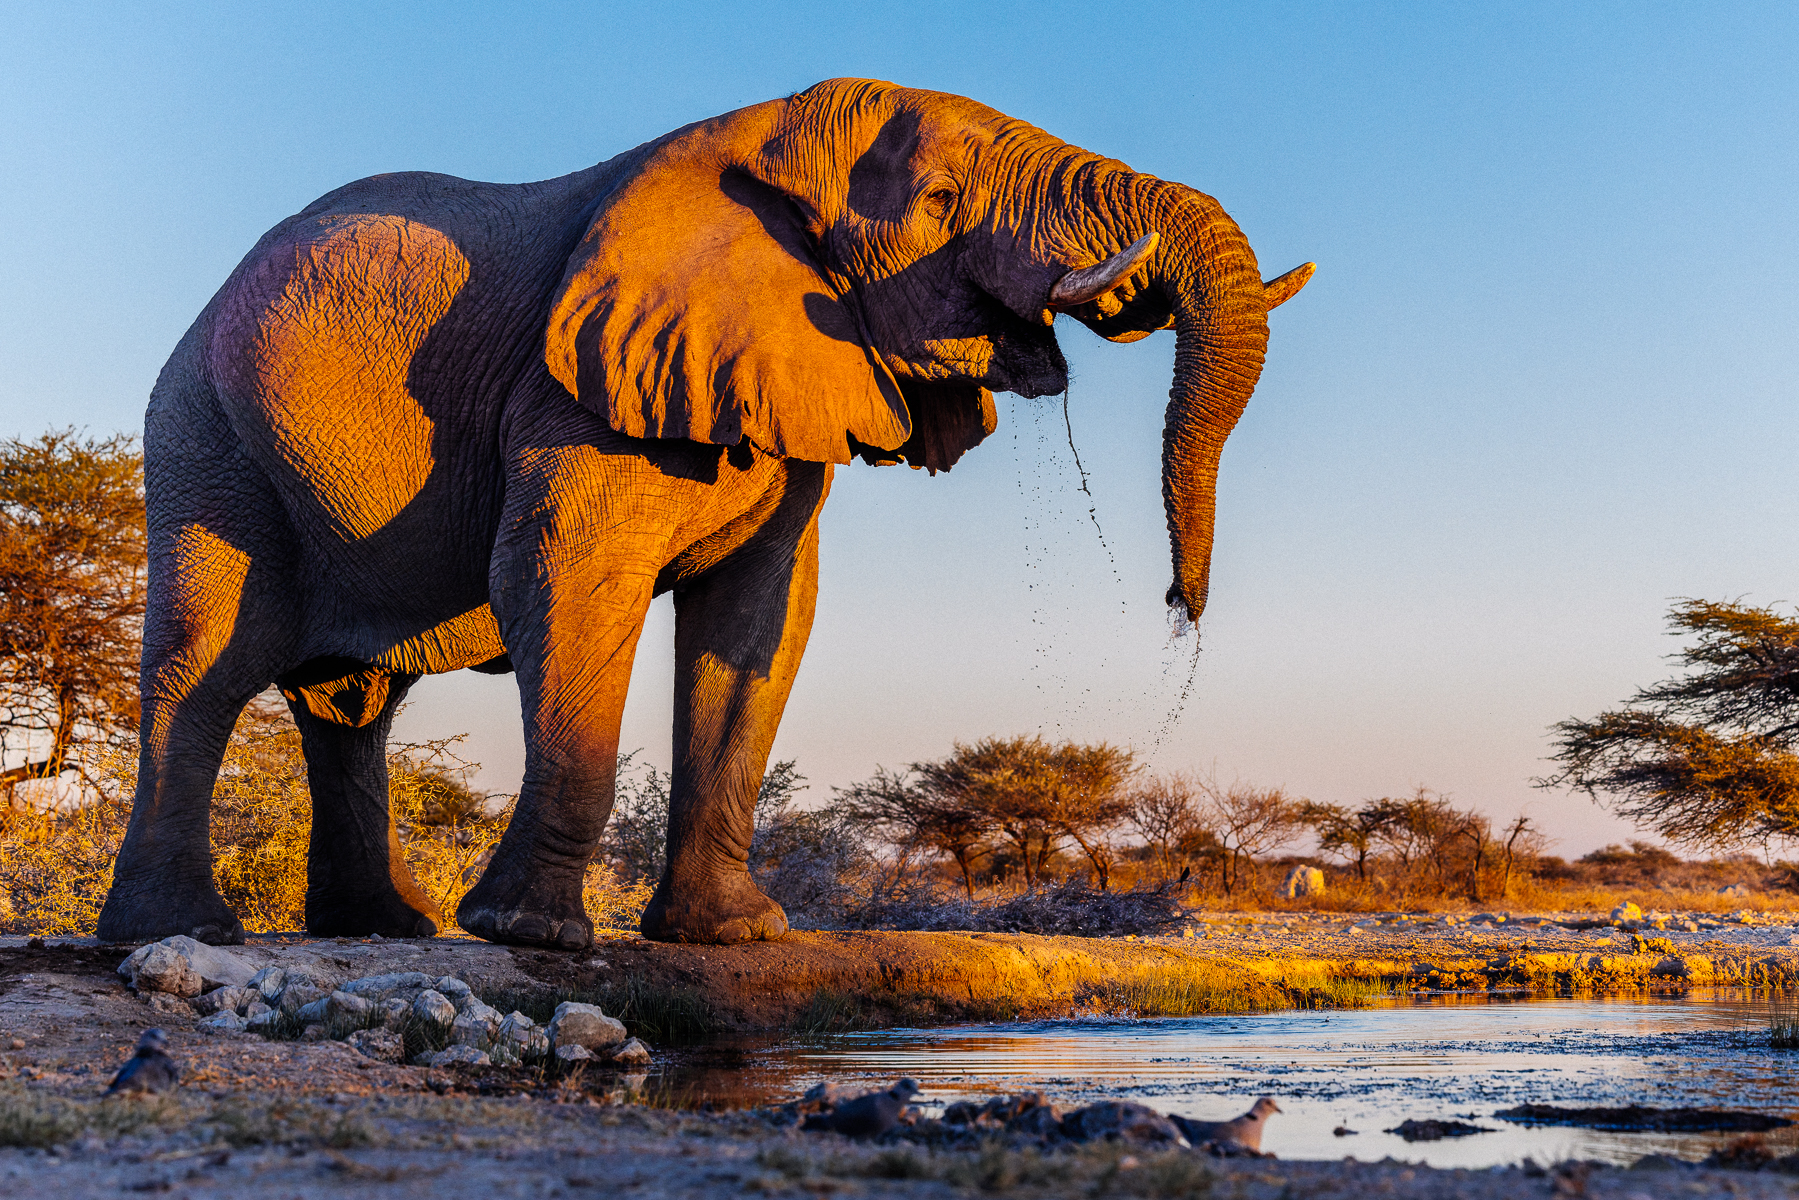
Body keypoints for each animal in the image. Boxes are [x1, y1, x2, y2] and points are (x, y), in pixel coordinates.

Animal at [95, 78, 1312, 949]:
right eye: (940, 202)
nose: (1179, 607)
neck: (761, 136)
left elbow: (759, 621)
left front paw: (734, 936)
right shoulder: (573, 394)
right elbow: (569, 583)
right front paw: (528, 936)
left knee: (350, 702)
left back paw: (387, 928)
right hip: (203, 435)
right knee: (204, 668)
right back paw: (179, 934)